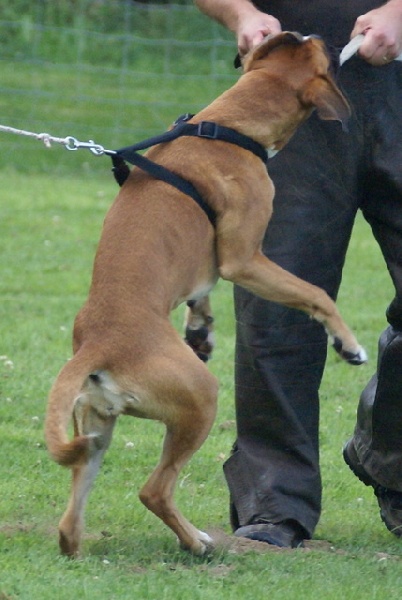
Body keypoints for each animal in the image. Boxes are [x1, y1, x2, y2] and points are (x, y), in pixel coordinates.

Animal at [45, 32, 367, 557]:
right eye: (319, 53)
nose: (320, 35)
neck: (228, 127)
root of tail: (98, 345)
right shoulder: (247, 261)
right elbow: (316, 293)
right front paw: (349, 345)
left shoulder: (210, 270)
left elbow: (201, 292)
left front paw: (201, 329)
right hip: (199, 401)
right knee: (154, 490)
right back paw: (197, 543)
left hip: (94, 431)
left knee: (71, 518)